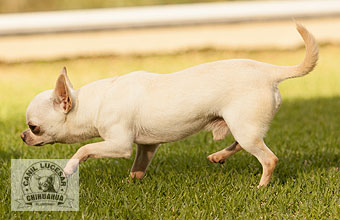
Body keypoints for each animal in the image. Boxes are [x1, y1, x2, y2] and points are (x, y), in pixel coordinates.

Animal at [22, 24, 318, 187]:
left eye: (34, 127)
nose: (23, 136)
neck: (92, 103)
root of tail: (270, 71)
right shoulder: (147, 146)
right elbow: (138, 168)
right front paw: (130, 183)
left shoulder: (118, 145)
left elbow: (84, 149)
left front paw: (69, 169)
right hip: (243, 125)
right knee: (243, 144)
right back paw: (218, 156)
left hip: (245, 127)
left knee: (268, 158)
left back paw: (261, 187)